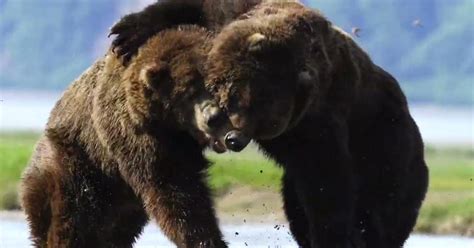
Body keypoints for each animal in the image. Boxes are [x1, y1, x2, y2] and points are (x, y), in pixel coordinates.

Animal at [19, 25, 241, 248]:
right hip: (75, 163)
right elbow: (174, 190)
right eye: (188, 93)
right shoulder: (137, 135)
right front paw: (206, 239)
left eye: (215, 85)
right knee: (70, 218)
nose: (213, 117)